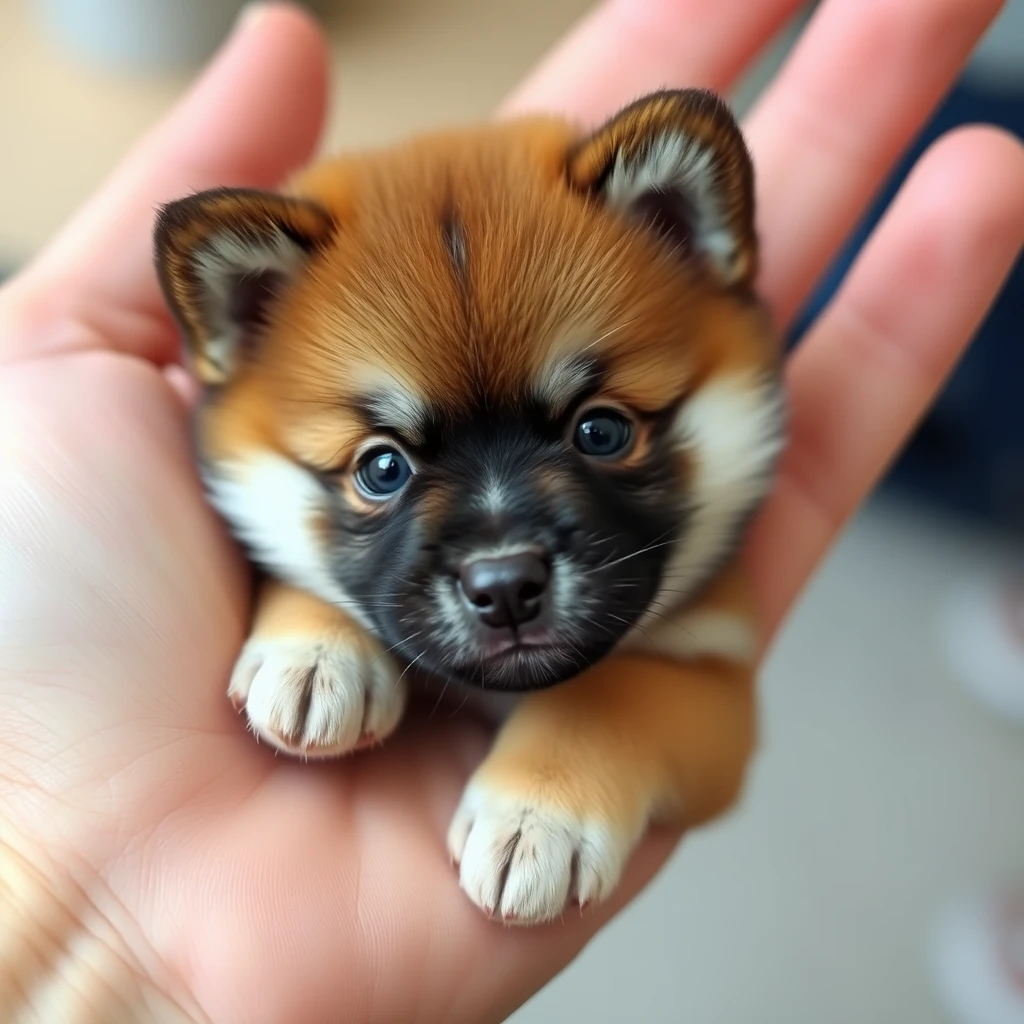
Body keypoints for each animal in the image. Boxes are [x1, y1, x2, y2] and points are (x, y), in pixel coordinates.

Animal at [155, 92, 786, 929]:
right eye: (382, 468)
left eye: (602, 431)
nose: (506, 586)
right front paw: (315, 655)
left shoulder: (717, 681)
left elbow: (611, 692)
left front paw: (538, 817)